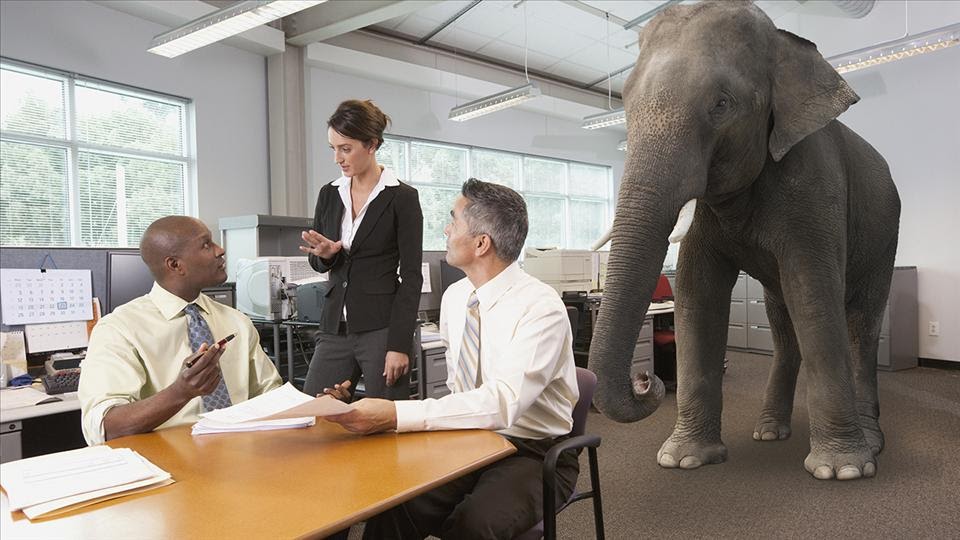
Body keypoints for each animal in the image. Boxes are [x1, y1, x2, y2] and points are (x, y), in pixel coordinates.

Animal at [592, 1, 900, 480]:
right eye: (623, 102)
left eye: (722, 104)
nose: (647, 381)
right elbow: (697, 295)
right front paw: (684, 459)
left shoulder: (814, 182)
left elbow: (813, 293)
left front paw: (842, 470)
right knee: (782, 324)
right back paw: (770, 432)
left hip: (886, 238)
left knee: (862, 326)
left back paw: (871, 443)